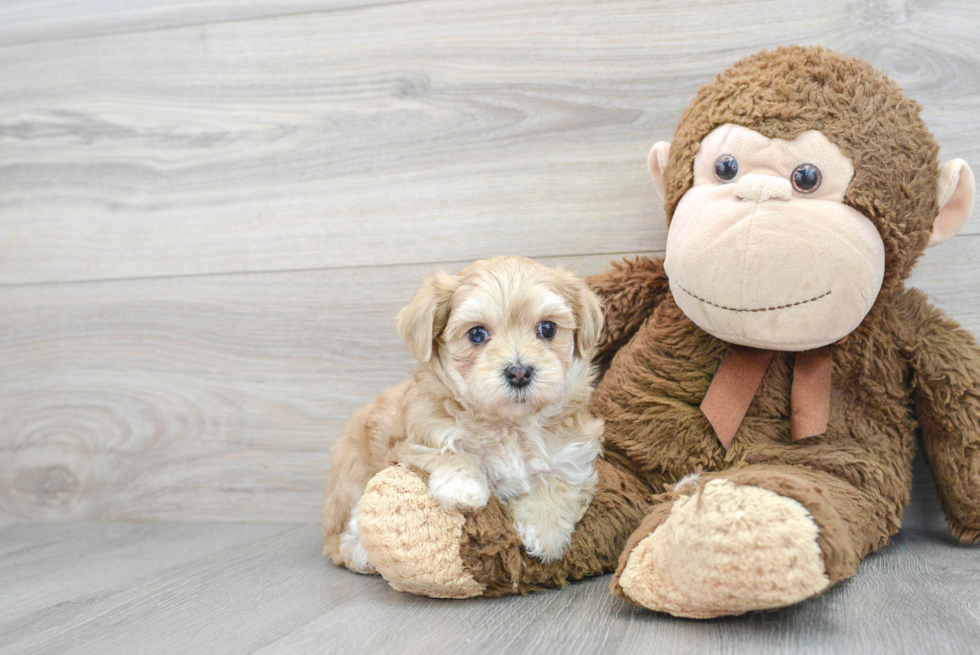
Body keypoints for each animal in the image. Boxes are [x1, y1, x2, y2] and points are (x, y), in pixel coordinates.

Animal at [324, 256, 604, 576]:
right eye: (477, 334)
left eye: (547, 329)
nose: (519, 372)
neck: (509, 425)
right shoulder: (416, 439)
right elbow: (448, 450)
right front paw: (464, 486)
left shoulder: (574, 452)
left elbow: (558, 480)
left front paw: (545, 532)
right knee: (345, 536)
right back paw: (362, 554)